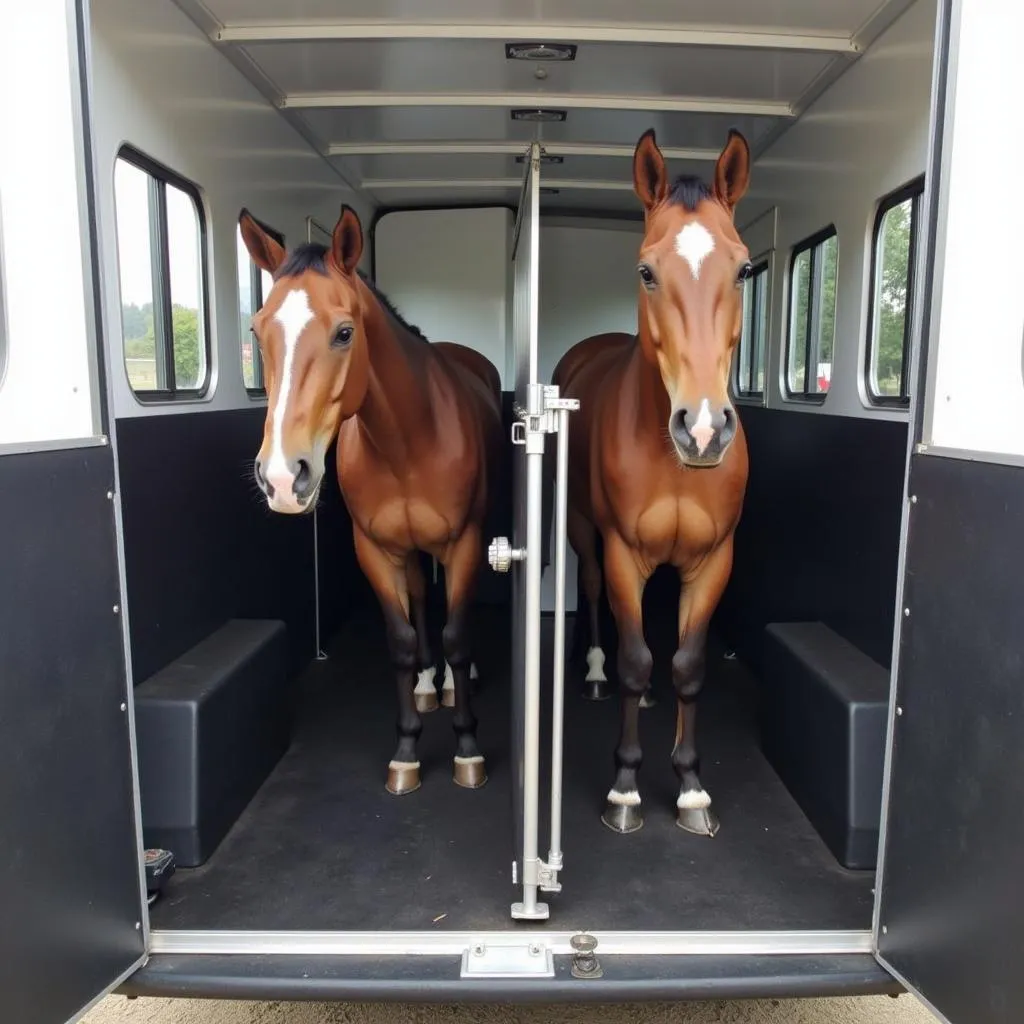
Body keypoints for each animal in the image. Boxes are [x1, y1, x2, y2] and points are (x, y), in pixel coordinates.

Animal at [239, 199, 503, 790]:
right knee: (422, 599)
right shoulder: (376, 551)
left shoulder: (464, 542)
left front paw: (468, 747)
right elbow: (401, 641)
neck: (406, 442)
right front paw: (406, 751)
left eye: (343, 333)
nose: (283, 477)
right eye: (257, 330)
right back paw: (430, 685)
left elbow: (458, 634)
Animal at [557, 128, 749, 835]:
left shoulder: (714, 559)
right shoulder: (622, 554)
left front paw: (691, 787)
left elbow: (688, 667)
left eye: (742, 268)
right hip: (583, 533)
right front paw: (625, 788)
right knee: (589, 596)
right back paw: (592, 674)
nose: (703, 428)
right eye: (646, 270)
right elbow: (638, 662)